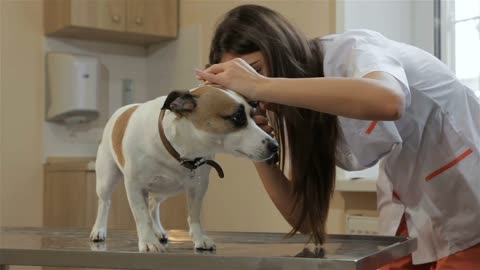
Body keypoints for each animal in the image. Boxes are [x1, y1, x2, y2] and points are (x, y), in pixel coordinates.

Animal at [88, 85, 280, 253]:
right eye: (238, 117)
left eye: (253, 116)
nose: (275, 146)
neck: (179, 148)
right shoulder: (135, 186)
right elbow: (142, 216)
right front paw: (148, 241)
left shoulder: (198, 187)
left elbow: (194, 215)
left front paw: (199, 238)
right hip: (107, 178)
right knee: (105, 203)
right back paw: (99, 229)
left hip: (165, 189)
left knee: (153, 204)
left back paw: (158, 230)